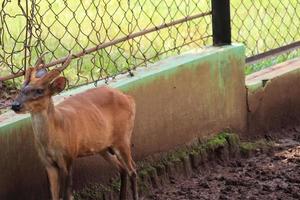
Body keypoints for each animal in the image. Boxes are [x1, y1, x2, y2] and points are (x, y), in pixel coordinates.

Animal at [10, 53, 138, 200]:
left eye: (39, 90)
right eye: (21, 89)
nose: (15, 105)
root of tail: (129, 98)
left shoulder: (69, 156)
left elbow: (67, 195)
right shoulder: (48, 163)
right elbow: (54, 195)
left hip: (123, 137)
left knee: (132, 170)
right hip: (103, 147)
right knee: (123, 169)